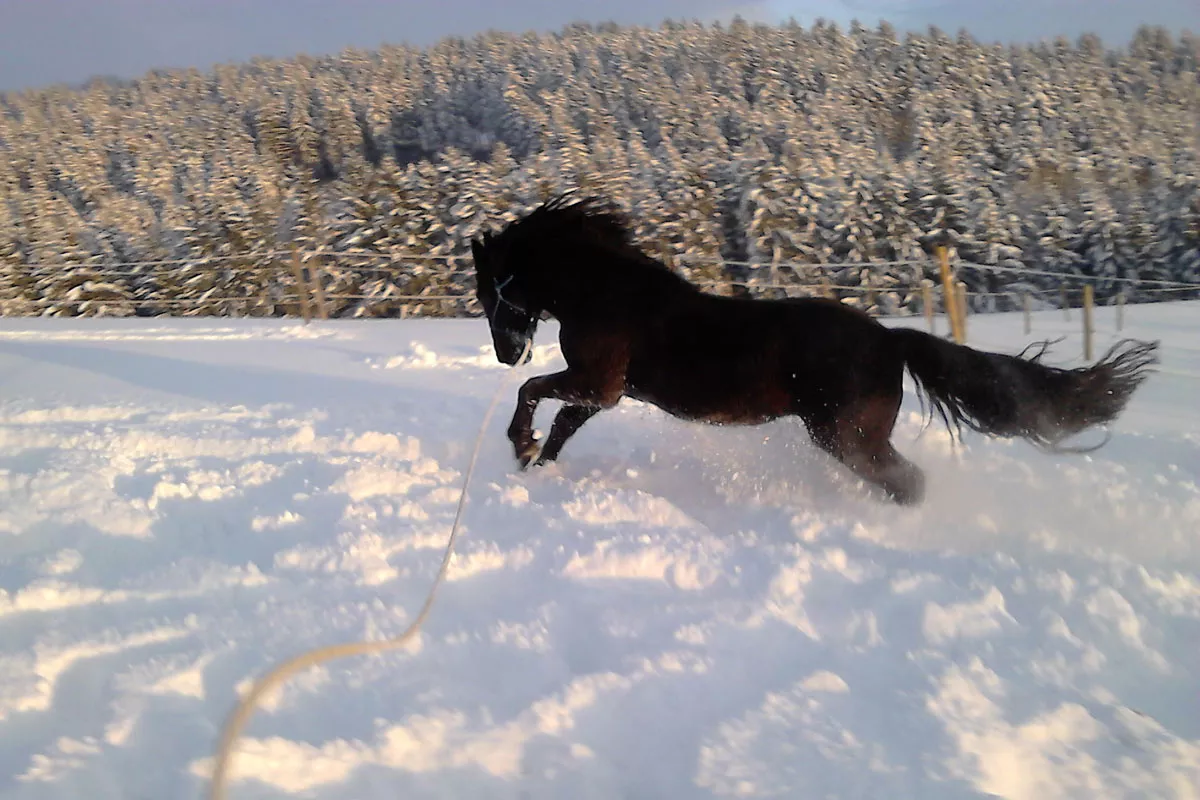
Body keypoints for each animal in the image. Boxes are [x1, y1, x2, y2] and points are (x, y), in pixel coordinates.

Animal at [468, 193, 1160, 505]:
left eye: (487, 290)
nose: (505, 353)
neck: (607, 293)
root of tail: (892, 340)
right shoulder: (602, 391)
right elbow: (562, 425)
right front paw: (536, 466)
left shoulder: (600, 382)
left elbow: (534, 394)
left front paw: (519, 445)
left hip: (844, 435)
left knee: (907, 481)